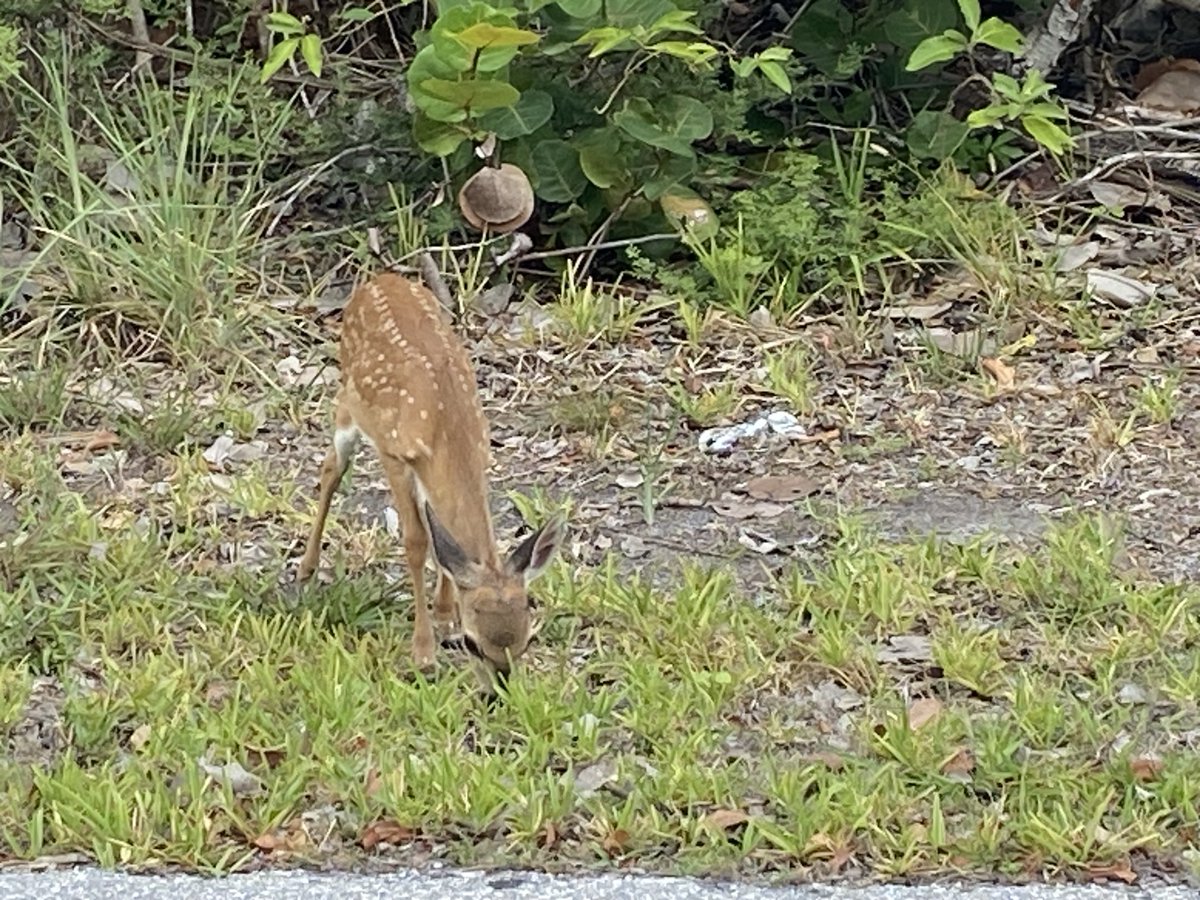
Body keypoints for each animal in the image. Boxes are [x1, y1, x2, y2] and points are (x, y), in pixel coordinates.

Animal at [297, 271, 566, 695]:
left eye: (527, 639)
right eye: (472, 643)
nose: (497, 694)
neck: (448, 429)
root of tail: (378, 278)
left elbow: (442, 539)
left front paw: (443, 614)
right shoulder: (395, 453)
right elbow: (416, 541)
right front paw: (423, 653)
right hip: (348, 400)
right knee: (331, 469)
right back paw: (306, 568)